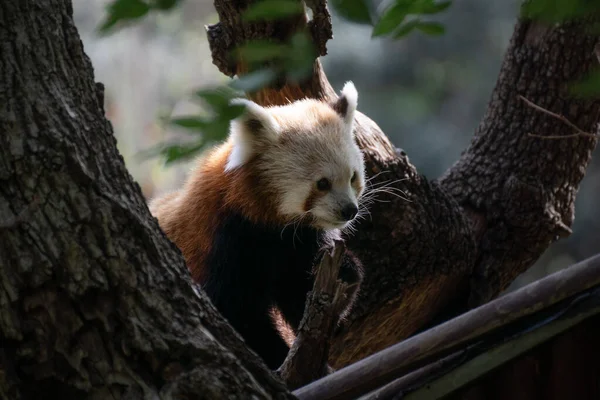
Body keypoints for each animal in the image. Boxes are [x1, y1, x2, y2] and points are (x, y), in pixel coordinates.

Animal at [150, 83, 366, 370]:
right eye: (322, 183)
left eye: (353, 177)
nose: (349, 210)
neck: (270, 228)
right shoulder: (225, 241)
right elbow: (236, 312)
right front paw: (277, 357)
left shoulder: (298, 245)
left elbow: (303, 297)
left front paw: (346, 270)